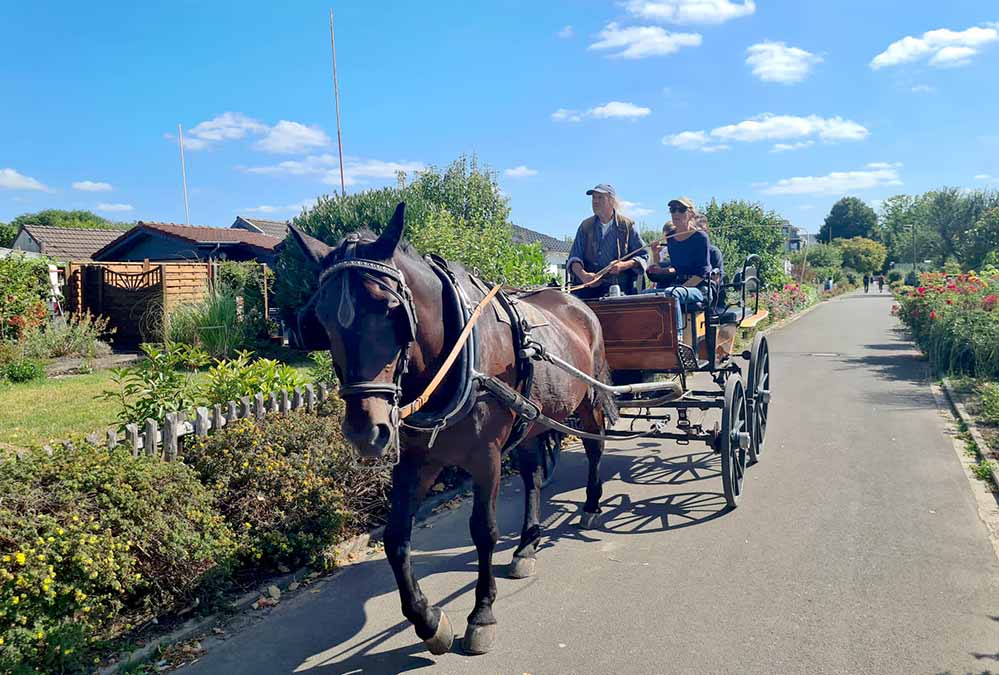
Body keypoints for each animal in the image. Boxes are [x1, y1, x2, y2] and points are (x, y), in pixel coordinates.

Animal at [290, 203, 616, 656]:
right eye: (321, 320)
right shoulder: (416, 458)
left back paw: (590, 505)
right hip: (531, 420)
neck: (456, 354)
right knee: (533, 477)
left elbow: (484, 531)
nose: (365, 431)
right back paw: (527, 545)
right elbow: (395, 537)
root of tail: (575, 301)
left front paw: (481, 614)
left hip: (588, 401)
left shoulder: (486, 457)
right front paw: (428, 621)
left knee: (594, 449)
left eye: (390, 309)